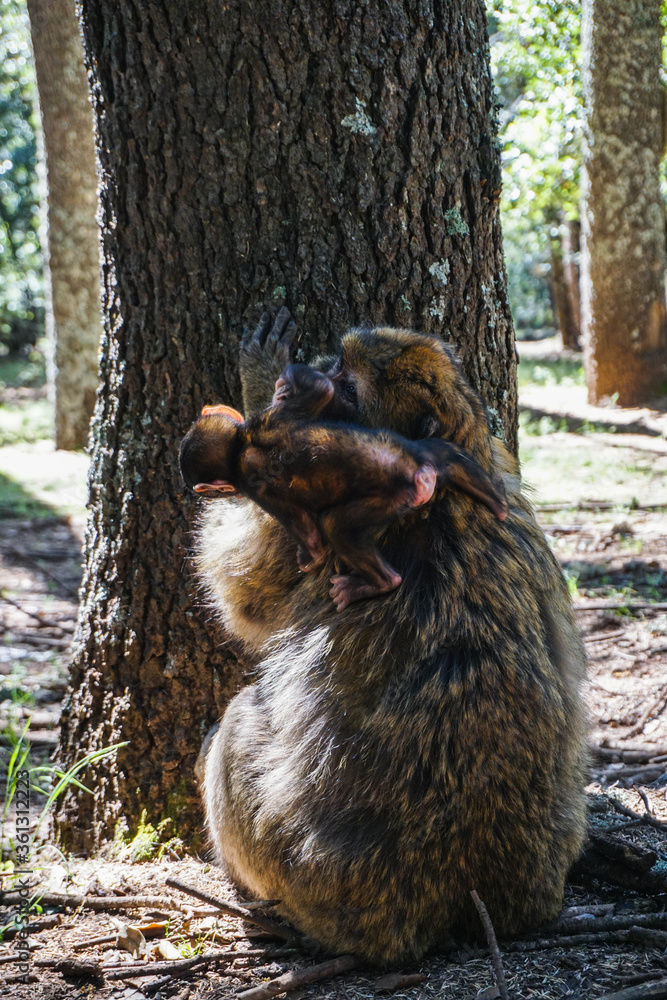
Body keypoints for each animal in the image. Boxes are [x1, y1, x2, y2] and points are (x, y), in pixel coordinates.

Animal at [180, 363, 508, 611]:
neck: (238, 447)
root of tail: (422, 476)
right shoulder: (272, 419)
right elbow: (321, 387)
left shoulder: (259, 485)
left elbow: (313, 543)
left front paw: (306, 559)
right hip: (419, 450)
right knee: (446, 452)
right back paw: (496, 498)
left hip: (396, 497)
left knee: (336, 527)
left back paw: (378, 583)